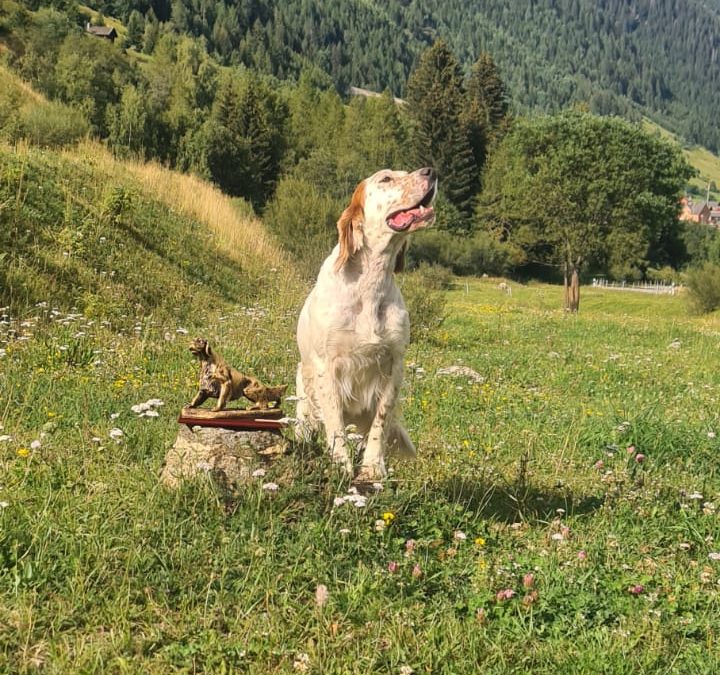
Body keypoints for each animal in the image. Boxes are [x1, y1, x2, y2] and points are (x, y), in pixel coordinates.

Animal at [296, 168, 436, 480]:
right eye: (385, 179)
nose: (431, 172)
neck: (371, 283)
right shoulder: (327, 366)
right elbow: (334, 424)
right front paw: (341, 465)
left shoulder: (393, 365)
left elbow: (380, 423)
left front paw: (372, 467)